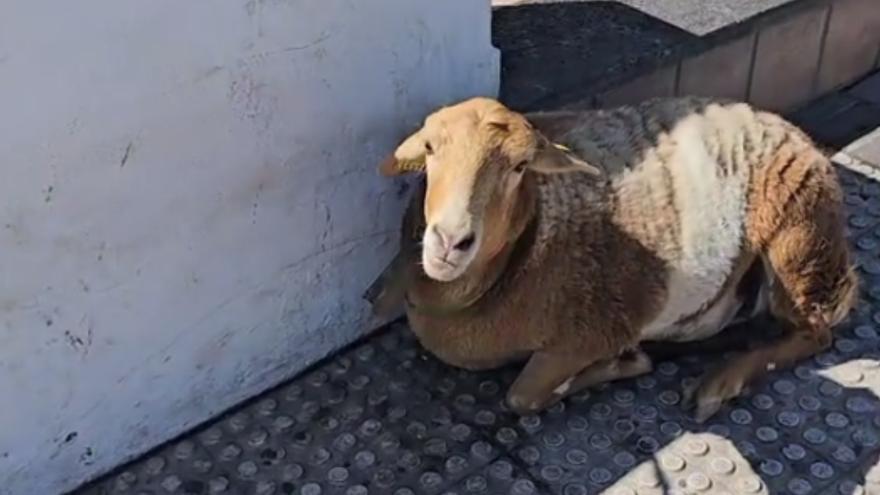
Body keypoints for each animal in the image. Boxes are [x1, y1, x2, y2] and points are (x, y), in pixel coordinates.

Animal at [365, 96, 858, 422]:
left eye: (520, 167)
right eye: (430, 149)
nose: (450, 241)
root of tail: (792, 130)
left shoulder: (595, 329)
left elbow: (524, 396)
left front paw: (627, 363)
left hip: (797, 239)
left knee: (816, 334)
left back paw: (719, 385)